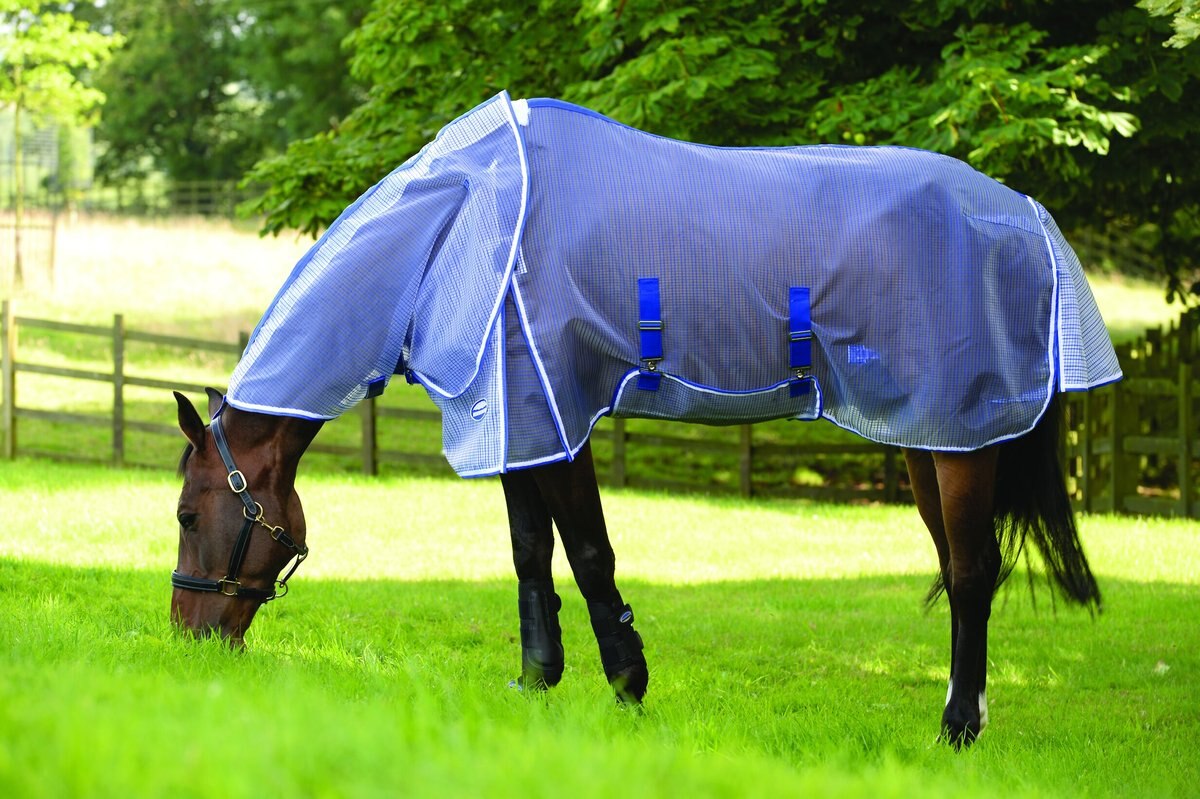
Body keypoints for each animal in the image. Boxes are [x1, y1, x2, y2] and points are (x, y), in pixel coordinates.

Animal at [170, 92, 1119, 747]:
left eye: (185, 512)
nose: (186, 639)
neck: (460, 217)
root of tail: (1026, 216)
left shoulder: (556, 412)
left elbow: (589, 553)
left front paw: (627, 684)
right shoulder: (515, 418)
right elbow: (530, 554)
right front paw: (536, 681)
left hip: (965, 436)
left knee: (973, 572)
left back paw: (958, 726)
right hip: (933, 436)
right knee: (960, 567)